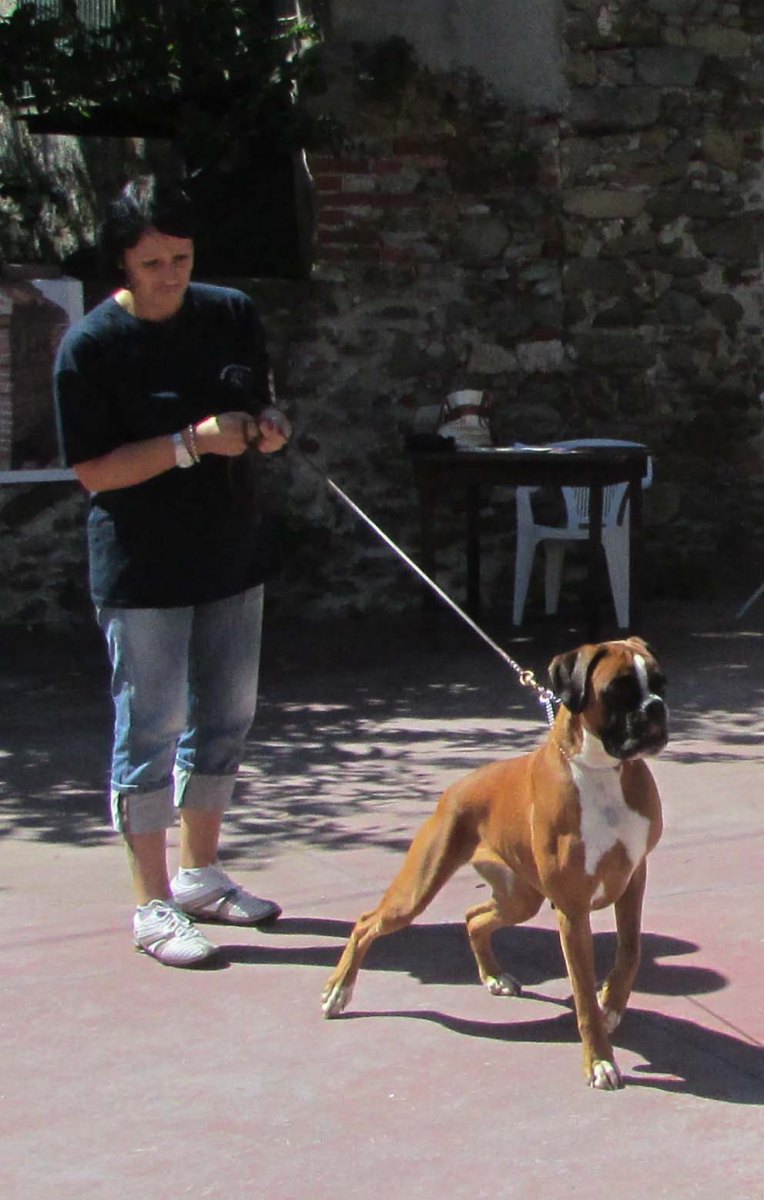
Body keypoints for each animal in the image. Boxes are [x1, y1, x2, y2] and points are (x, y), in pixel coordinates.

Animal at [321, 637, 668, 1090]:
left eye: (661, 682)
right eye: (619, 689)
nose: (656, 707)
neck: (600, 772)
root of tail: (455, 789)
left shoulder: (632, 878)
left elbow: (629, 952)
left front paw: (611, 1003)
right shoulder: (573, 911)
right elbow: (583, 1000)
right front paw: (599, 1060)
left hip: (521, 899)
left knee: (473, 918)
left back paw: (493, 975)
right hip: (417, 891)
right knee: (366, 924)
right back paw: (338, 991)